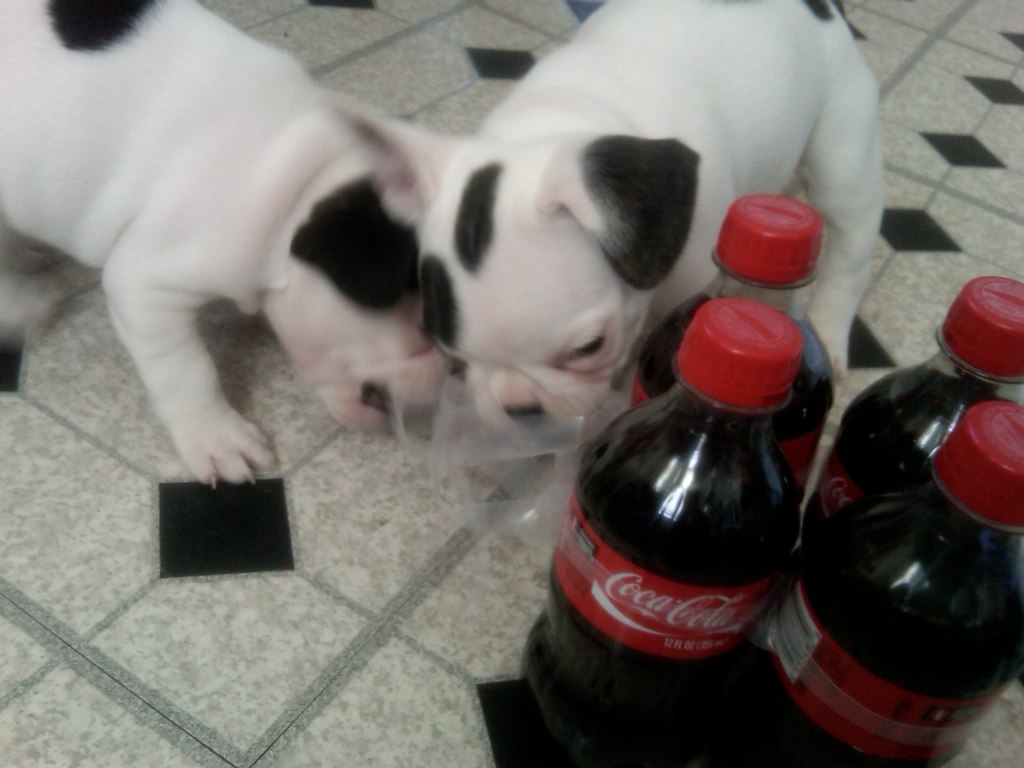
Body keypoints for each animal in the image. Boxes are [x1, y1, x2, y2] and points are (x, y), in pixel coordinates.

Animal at [0, 0, 444, 483]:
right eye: (430, 330)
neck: (301, 185)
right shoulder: (148, 285)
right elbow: (187, 371)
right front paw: (217, 437)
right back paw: (22, 302)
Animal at [350, 0, 880, 428]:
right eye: (454, 358)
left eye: (589, 348)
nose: (521, 408)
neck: (553, 129)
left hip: (842, 142)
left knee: (850, 242)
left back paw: (829, 332)